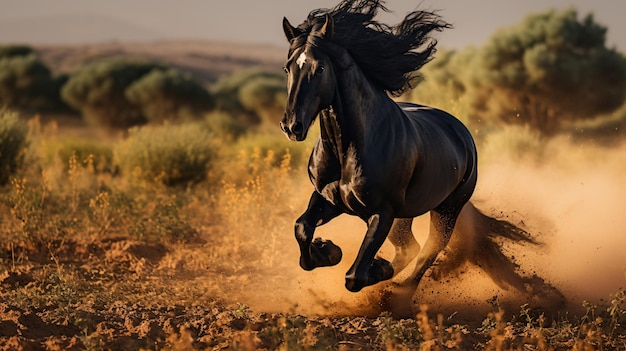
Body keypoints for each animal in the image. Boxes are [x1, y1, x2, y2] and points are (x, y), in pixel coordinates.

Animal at [280, 0, 536, 296]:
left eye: (320, 68)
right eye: (287, 68)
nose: (292, 126)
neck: (348, 149)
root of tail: (461, 132)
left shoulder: (382, 212)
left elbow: (355, 277)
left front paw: (375, 266)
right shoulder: (329, 198)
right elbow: (301, 228)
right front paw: (328, 250)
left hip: (446, 210)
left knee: (426, 252)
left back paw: (397, 289)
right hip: (407, 215)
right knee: (409, 247)